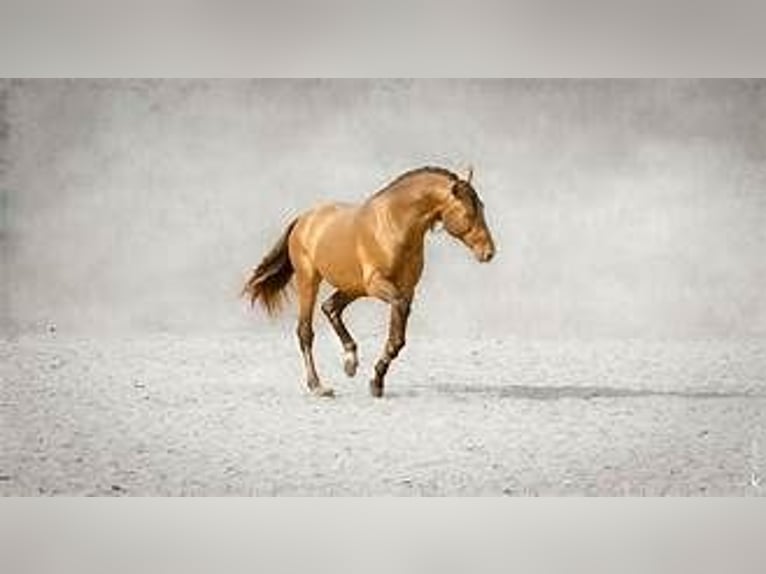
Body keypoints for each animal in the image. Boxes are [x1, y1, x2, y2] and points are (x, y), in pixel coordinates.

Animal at [242, 166, 495, 398]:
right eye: (469, 213)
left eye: (481, 207)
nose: (489, 252)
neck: (395, 225)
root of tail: (303, 220)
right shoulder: (380, 286)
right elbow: (397, 327)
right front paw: (376, 379)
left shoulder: (406, 289)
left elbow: (397, 337)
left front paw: (376, 381)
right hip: (310, 280)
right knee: (305, 331)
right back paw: (318, 386)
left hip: (353, 287)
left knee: (330, 307)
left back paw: (350, 361)